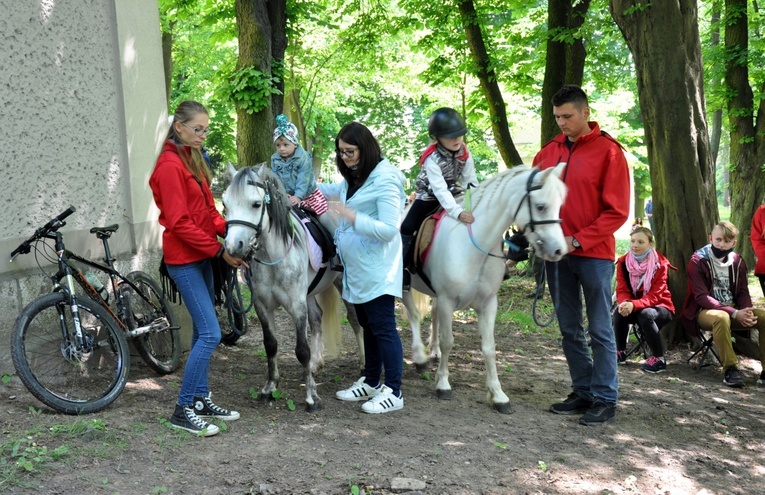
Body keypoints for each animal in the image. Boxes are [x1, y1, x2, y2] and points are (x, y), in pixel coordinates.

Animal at [222, 165, 362, 412]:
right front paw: (269, 388)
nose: (232, 247)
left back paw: (364, 364)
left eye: (256, 204)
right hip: (309, 293)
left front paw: (311, 397)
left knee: (355, 320)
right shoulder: (262, 306)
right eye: (225, 205)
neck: (273, 256)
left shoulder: (297, 306)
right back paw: (316, 365)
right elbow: (270, 345)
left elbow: (301, 350)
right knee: (317, 317)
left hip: (340, 285)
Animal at [402, 164, 564, 414]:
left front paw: (498, 395)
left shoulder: (488, 304)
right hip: (405, 286)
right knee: (414, 315)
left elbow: (489, 348)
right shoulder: (448, 300)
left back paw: (433, 351)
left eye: (560, 204)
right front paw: (443, 384)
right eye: (540, 206)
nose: (558, 250)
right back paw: (420, 357)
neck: (474, 244)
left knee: (433, 315)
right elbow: (449, 341)